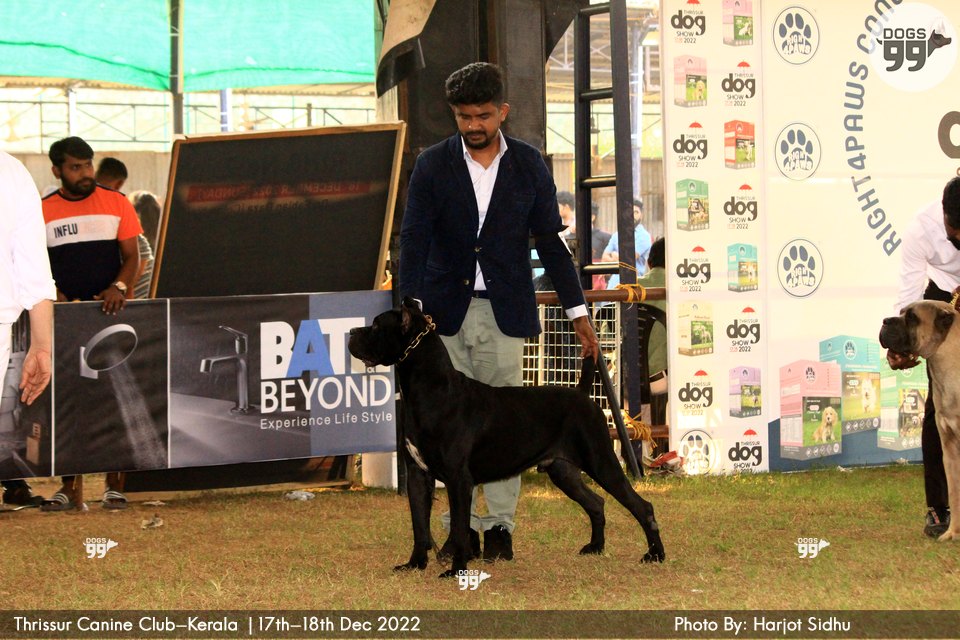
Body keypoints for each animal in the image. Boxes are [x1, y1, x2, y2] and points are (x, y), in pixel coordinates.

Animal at [348, 297, 665, 577]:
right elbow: (419, 525)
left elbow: (459, 529)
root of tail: (582, 394)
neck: (430, 390)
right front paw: (414, 565)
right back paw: (596, 547)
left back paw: (655, 554)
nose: (351, 332)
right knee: (596, 503)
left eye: (376, 325)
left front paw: (456, 570)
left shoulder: (458, 478)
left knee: (642, 506)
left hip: (601, 461)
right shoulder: (417, 474)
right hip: (562, 469)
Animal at [879, 300, 960, 541]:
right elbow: (955, 493)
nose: (885, 321)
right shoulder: (949, 450)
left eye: (912, 318)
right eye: (901, 312)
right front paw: (953, 533)